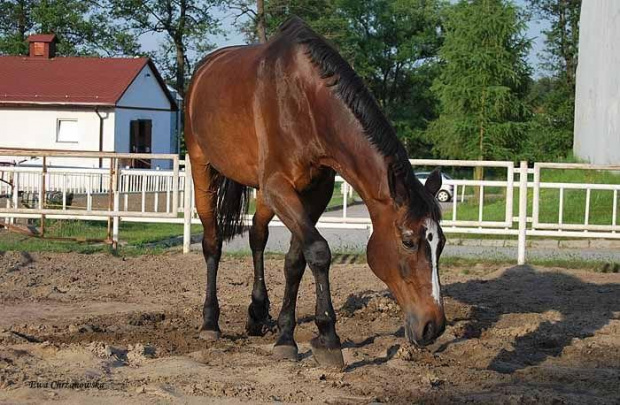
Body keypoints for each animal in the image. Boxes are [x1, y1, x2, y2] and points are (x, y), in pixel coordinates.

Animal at [184, 17, 446, 368]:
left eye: (440, 243)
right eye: (408, 241)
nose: (434, 326)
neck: (307, 101)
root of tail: (203, 68)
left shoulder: (314, 191)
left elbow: (296, 260)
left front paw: (285, 335)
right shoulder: (280, 186)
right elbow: (319, 252)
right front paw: (329, 338)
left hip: (264, 193)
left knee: (257, 236)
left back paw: (257, 313)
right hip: (203, 167)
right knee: (212, 241)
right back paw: (210, 322)